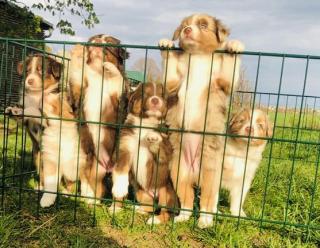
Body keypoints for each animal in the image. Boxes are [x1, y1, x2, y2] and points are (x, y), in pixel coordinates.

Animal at [68, 34, 129, 200]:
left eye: (108, 42)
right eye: (92, 39)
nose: (97, 42)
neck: (98, 75)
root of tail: (106, 168)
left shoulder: (119, 98)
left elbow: (118, 78)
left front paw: (109, 66)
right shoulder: (79, 91)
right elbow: (77, 72)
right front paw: (78, 51)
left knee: (116, 190)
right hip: (89, 164)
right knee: (91, 184)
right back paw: (87, 199)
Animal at [112, 83, 178, 225]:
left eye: (161, 95)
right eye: (145, 93)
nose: (155, 100)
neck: (145, 125)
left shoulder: (164, 154)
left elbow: (161, 144)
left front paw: (153, 136)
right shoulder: (124, 148)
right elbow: (121, 170)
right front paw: (119, 190)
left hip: (166, 193)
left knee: (166, 213)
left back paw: (155, 220)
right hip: (140, 193)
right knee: (150, 207)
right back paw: (129, 208)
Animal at [158, 13, 245, 227]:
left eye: (204, 25)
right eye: (185, 25)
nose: (187, 30)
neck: (197, 56)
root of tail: (195, 171)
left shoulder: (223, 81)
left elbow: (230, 67)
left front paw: (234, 45)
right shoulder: (173, 82)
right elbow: (170, 73)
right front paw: (166, 44)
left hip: (210, 175)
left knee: (207, 202)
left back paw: (205, 221)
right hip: (178, 173)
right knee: (188, 200)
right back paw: (181, 217)